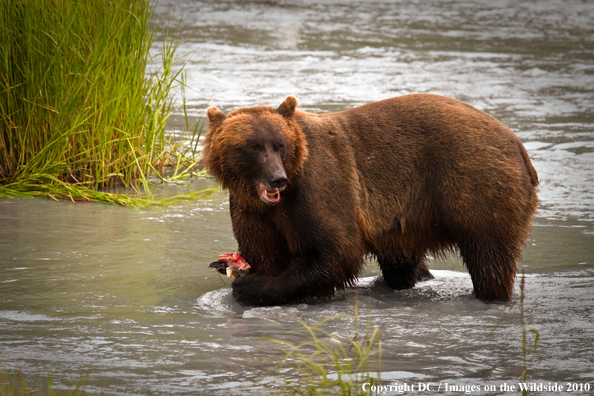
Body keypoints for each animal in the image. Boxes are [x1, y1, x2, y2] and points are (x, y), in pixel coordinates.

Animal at [202, 94, 536, 304]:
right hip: (410, 221)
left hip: (477, 186)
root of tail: (518, 145)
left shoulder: (315, 189)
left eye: (280, 145)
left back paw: (489, 294)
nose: (277, 179)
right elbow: (266, 252)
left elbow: (336, 250)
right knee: (401, 263)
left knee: (489, 256)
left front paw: (249, 286)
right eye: (252, 146)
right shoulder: (253, 209)